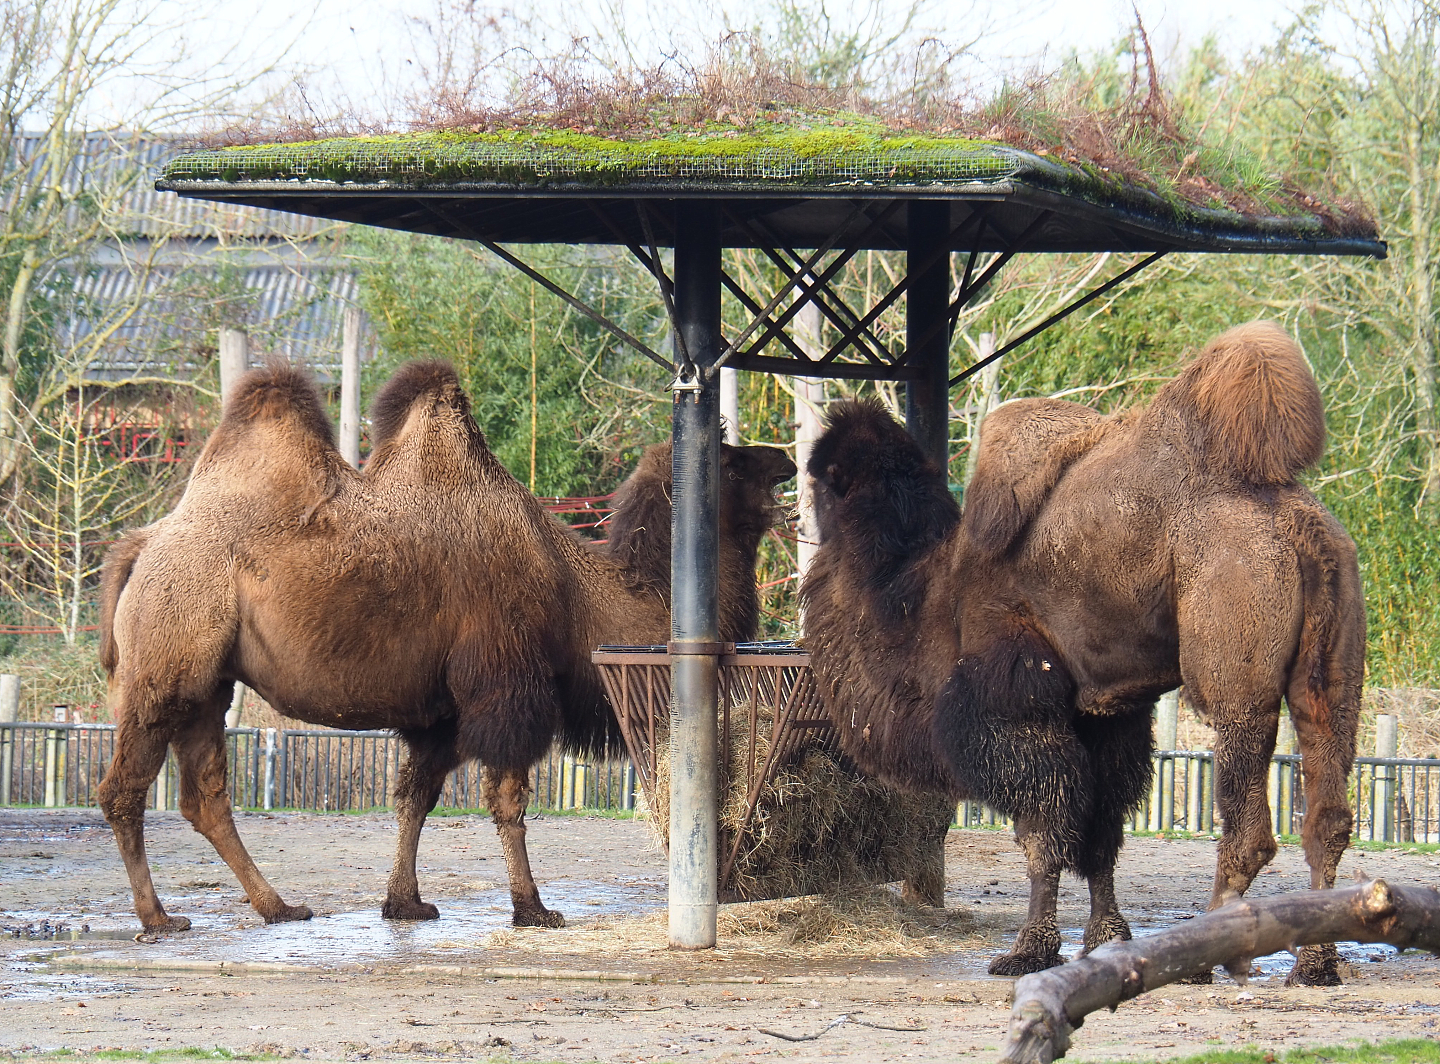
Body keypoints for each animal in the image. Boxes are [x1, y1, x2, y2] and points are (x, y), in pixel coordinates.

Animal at [97, 360, 795, 933]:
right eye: (731, 462)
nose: (785, 462)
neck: (578, 596)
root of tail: (138, 548)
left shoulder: (442, 713)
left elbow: (415, 797)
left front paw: (404, 902)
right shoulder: (508, 683)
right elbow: (507, 800)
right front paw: (533, 908)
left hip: (208, 687)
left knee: (205, 795)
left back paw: (279, 906)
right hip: (165, 666)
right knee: (123, 790)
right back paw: (158, 918)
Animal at [802, 322, 1363, 985]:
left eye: (822, 478)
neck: (925, 593)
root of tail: (1294, 523)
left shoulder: (1013, 701)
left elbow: (1044, 827)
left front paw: (1026, 952)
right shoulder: (1105, 712)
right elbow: (1100, 830)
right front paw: (1106, 940)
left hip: (1234, 662)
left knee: (1249, 819)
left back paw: (1210, 950)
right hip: (1333, 659)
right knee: (1327, 808)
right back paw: (1316, 964)